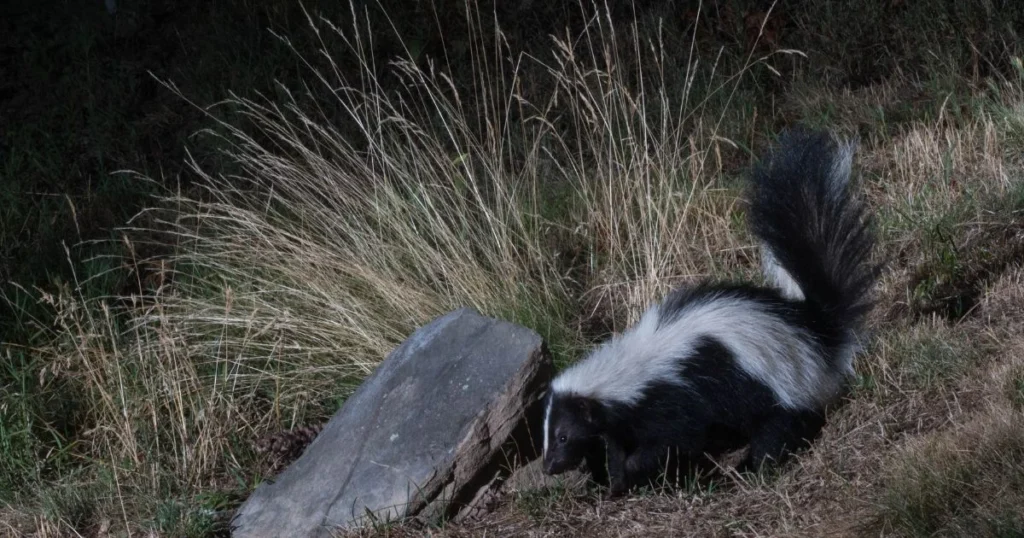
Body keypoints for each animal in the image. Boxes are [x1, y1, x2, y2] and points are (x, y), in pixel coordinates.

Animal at [544, 128, 880, 498]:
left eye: (563, 436)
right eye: (548, 436)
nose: (549, 466)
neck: (629, 373)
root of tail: (815, 329)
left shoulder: (677, 398)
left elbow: (675, 439)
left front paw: (638, 472)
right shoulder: (625, 422)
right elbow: (619, 448)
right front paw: (616, 483)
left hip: (779, 385)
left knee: (778, 429)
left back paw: (751, 467)